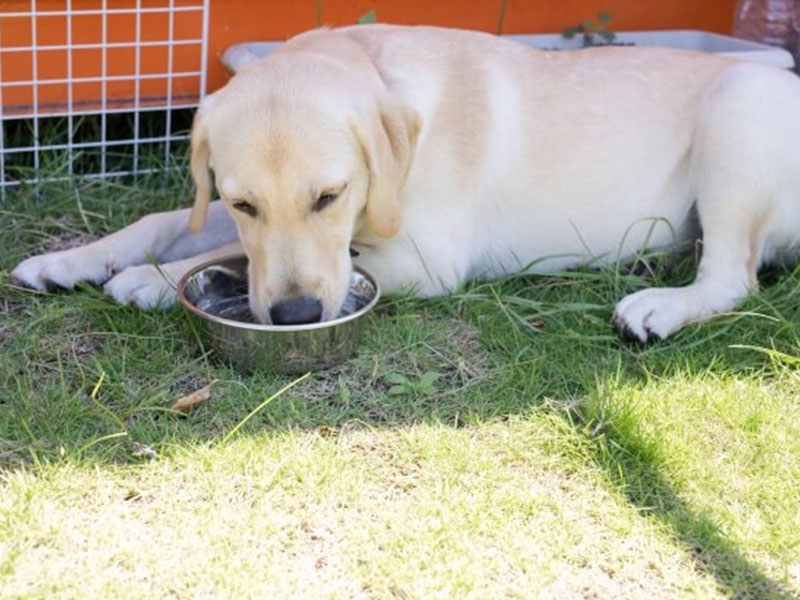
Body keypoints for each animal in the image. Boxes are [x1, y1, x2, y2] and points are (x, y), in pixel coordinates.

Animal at [9, 23, 800, 340]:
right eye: (241, 201)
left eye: (329, 197)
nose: (295, 316)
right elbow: (172, 226)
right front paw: (69, 259)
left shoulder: (425, 263)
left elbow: (216, 252)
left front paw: (148, 280)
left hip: (738, 102)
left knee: (733, 277)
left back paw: (660, 305)